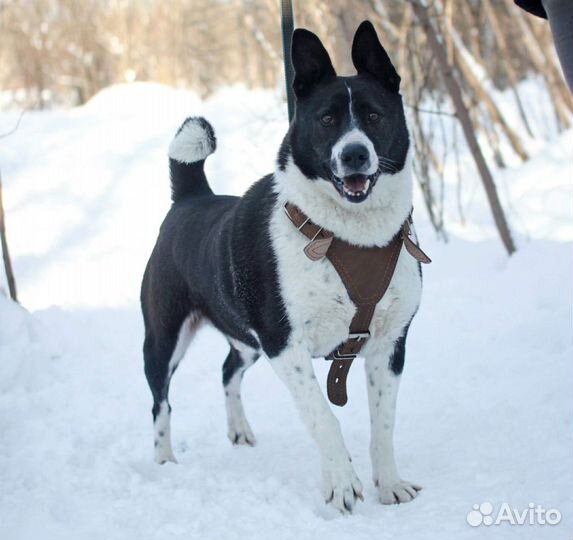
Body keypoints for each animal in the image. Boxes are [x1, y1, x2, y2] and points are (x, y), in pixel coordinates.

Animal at [141, 20, 422, 510]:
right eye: (327, 119)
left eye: (373, 116)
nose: (354, 154)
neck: (346, 236)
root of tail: (191, 197)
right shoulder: (283, 344)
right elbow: (323, 417)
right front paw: (342, 483)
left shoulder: (390, 344)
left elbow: (383, 424)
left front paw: (389, 484)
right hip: (164, 337)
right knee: (161, 402)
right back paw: (164, 460)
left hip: (244, 339)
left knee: (227, 370)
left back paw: (239, 430)